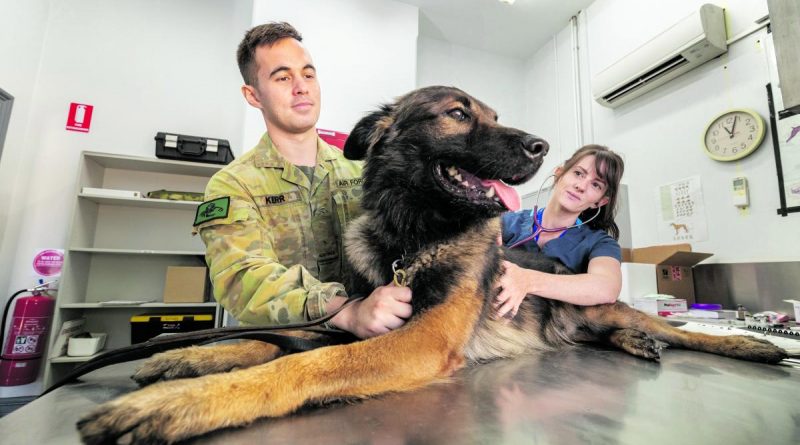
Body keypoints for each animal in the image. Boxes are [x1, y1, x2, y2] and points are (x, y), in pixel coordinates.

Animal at [76, 86, 788, 440]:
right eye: (457, 114)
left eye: (496, 116)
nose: (542, 145)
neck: (413, 234)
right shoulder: (367, 319)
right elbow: (272, 343)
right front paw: (185, 360)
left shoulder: (422, 337)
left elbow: (305, 363)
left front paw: (181, 403)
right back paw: (639, 345)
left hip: (604, 303)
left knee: (680, 327)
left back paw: (747, 345)